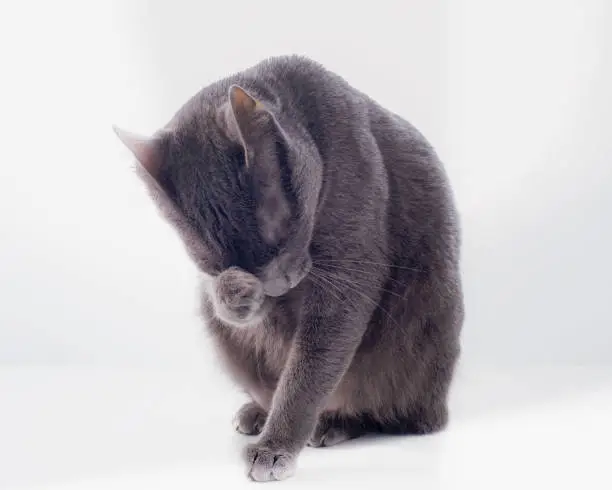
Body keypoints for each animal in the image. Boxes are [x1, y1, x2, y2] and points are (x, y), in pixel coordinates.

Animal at [113, 55, 464, 480]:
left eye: (283, 230)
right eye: (215, 261)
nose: (277, 285)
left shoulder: (348, 263)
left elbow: (312, 365)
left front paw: (275, 447)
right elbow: (232, 303)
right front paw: (235, 292)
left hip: (416, 346)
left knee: (388, 410)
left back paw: (335, 422)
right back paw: (256, 412)